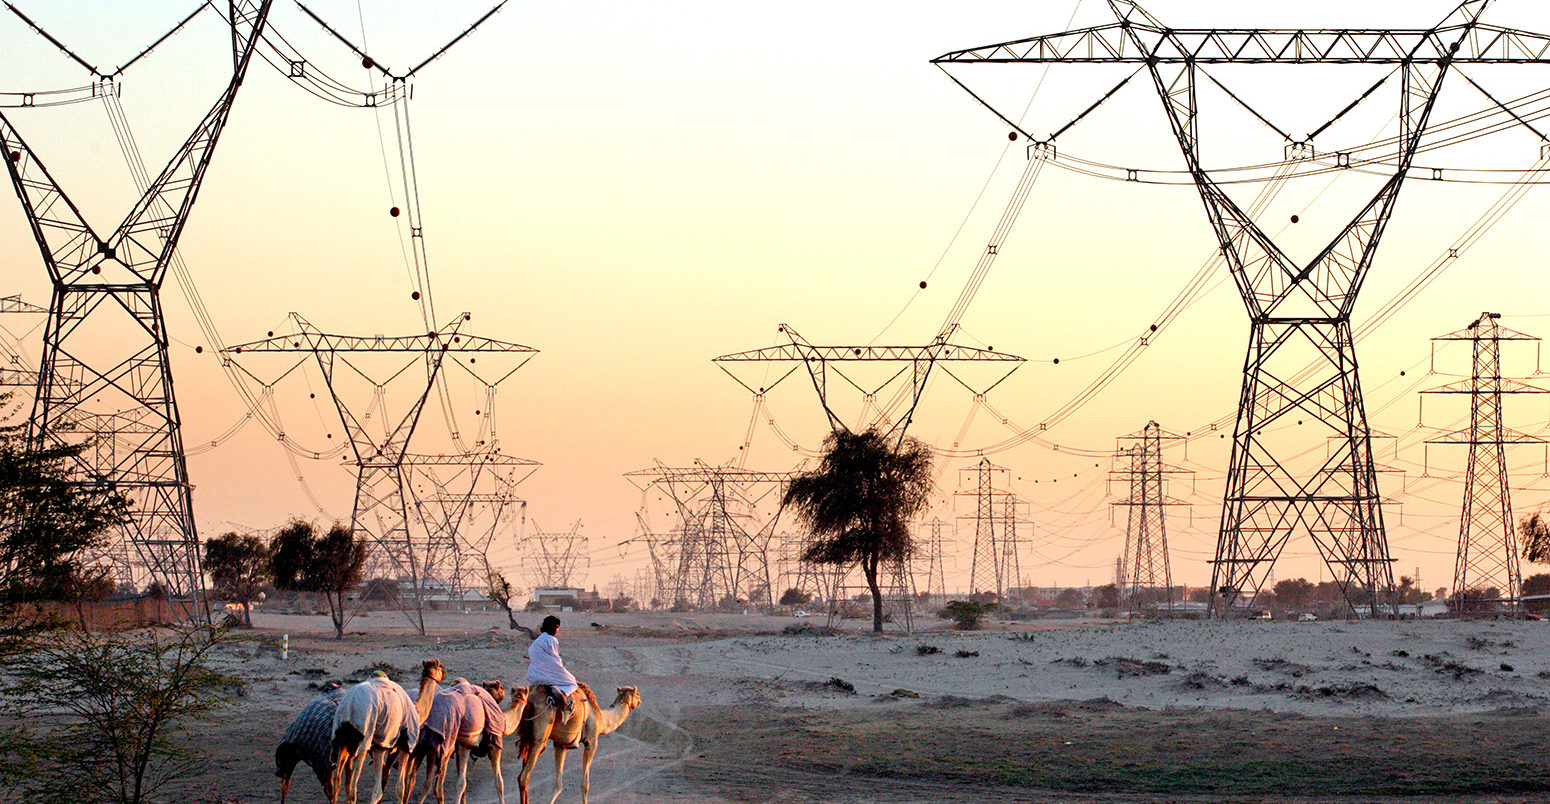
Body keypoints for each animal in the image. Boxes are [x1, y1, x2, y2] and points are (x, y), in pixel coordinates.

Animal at [331, 659, 446, 804]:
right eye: (440, 667)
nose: (444, 674)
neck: (417, 711)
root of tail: (348, 706)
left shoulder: (385, 746)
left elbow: (383, 782)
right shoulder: (406, 744)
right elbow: (399, 788)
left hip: (342, 739)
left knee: (337, 782)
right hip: (364, 736)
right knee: (353, 787)